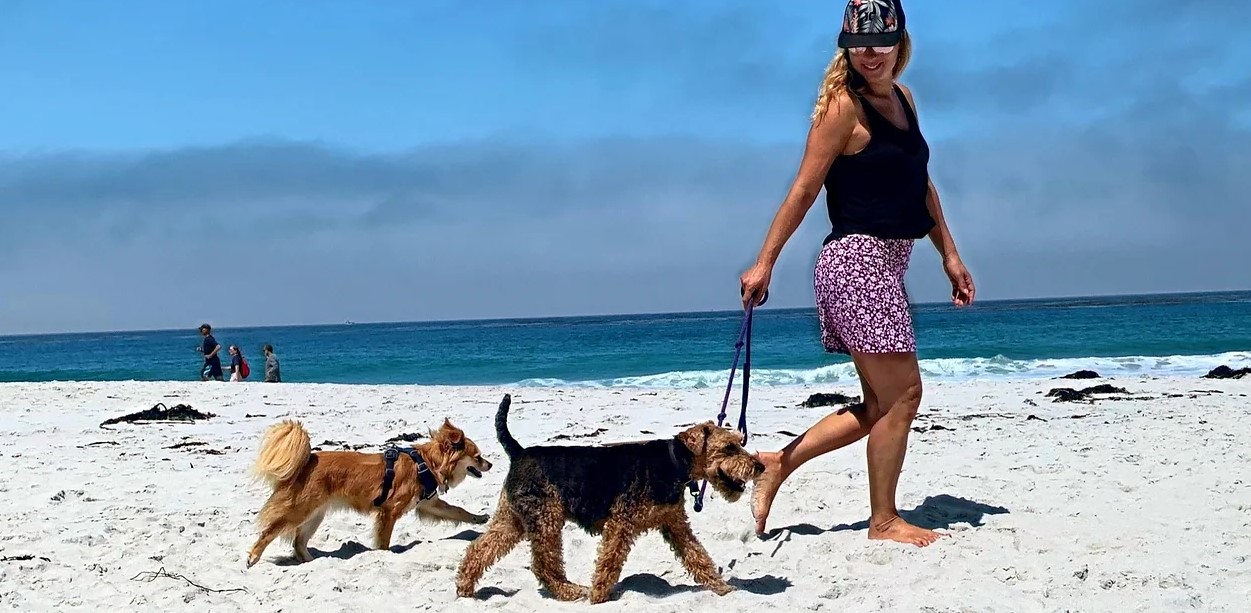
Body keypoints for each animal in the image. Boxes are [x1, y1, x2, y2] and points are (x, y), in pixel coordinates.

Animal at [243, 417, 492, 567]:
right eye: (478, 456)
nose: (490, 465)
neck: (427, 463)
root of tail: (307, 460)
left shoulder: (428, 504)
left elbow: (458, 511)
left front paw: (479, 518)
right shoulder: (390, 511)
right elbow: (384, 541)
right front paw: (384, 554)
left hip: (315, 515)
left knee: (298, 542)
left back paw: (312, 561)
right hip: (299, 511)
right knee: (270, 531)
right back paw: (254, 556)